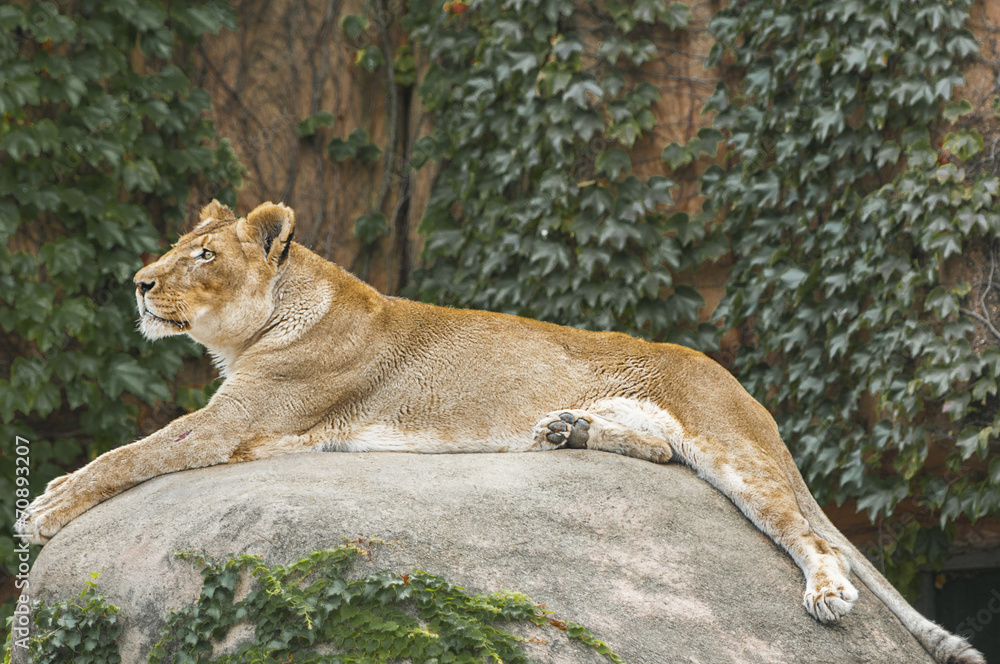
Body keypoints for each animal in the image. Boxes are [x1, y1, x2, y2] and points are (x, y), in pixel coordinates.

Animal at [18, 201, 983, 664]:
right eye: (181, 247)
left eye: (205, 256)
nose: (140, 283)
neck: (264, 325)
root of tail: (740, 384)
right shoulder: (244, 421)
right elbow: (138, 449)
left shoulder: (240, 420)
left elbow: (134, 452)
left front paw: (42, 508)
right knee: (658, 451)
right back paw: (565, 430)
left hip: (735, 451)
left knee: (804, 531)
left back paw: (826, 593)